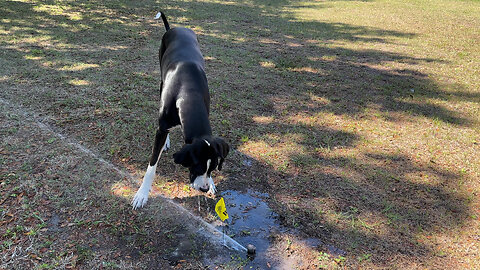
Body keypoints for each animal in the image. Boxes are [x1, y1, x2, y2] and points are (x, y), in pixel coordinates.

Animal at [131, 11, 229, 210]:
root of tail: (176, 28)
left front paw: (212, 183)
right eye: (197, 167)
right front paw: (142, 194)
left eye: (213, 168)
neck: (189, 91)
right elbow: (151, 166)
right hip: (161, 80)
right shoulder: (162, 126)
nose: (203, 188)